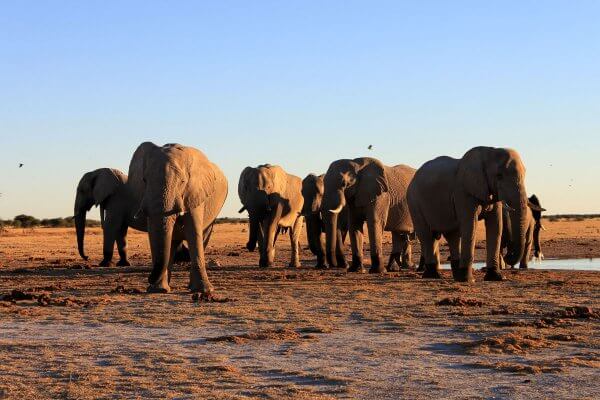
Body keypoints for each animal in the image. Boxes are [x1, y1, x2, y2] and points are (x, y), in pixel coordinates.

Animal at [130, 142, 226, 292]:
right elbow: (154, 233)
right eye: (144, 180)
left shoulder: (195, 192)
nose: (149, 278)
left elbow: (193, 231)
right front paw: (157, 290)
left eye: (182, 181)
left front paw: (204, 290)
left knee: (203, 237)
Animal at [408, 146, 528, 282]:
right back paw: (433, 275)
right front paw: (469, 280)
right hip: (414, 203)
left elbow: (496, 226)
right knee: (427, 235)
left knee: (452, 235)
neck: (489, 151)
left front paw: (496, 277)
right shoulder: (463, 192)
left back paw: (455, 275)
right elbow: (470, 226)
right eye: (499, 176)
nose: (509, 254)